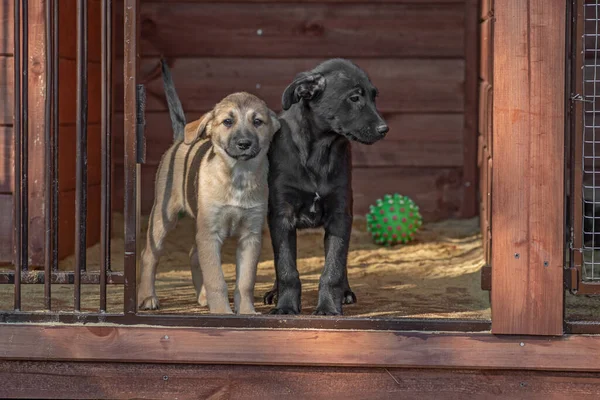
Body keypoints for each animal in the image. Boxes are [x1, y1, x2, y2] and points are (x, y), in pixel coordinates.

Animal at [138, 61, 282, 316]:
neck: (237, 177)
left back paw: (202, 296)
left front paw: (246, 312)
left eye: (257, 122)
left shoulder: (250, 236)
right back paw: (147, 297)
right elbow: (217, 279)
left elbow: (245, 281)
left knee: (194, 255)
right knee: (149, 255)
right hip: (163, 218)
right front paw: (223, 313)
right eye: (227, 122)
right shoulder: (210, 233)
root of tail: (179, 139)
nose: (244, 144)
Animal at [264, 58, 386, 316]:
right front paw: (286, 307)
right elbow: (285, 267)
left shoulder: (340, 215)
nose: (384, 129)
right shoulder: (281, 215)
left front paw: (329, 307)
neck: (319, 151)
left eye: (374, 96)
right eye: (354, 98)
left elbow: (334, 267)